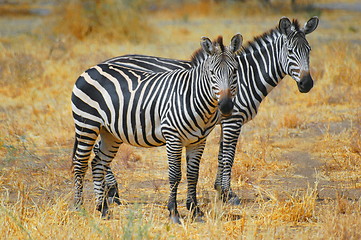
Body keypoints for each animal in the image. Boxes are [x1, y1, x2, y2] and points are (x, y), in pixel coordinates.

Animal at [70, 33, 242, 223]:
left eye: (235, 71)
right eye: (212, 73)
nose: (226, 106)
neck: (193, 96)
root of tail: (91, 69)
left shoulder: (198, 141)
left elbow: (193, 175)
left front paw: (195, 210)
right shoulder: (173, 137)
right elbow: (175, 175)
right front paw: (173, 212)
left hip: (110, 133)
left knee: (98, 164)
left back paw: (103, 209)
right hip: (87, 124)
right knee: (80, 163)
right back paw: (78, 207)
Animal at [97, 16, 318, 206]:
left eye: (309, 50)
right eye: (290, 51)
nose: (307, 84)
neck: (246, 77)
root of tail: (105, 62)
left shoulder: (225, 120)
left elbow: (221, 154)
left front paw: (220, 190)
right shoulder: (233, 119)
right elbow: (229, 155)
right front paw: (229, 194)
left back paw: (110, 191)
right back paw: (112, 191)